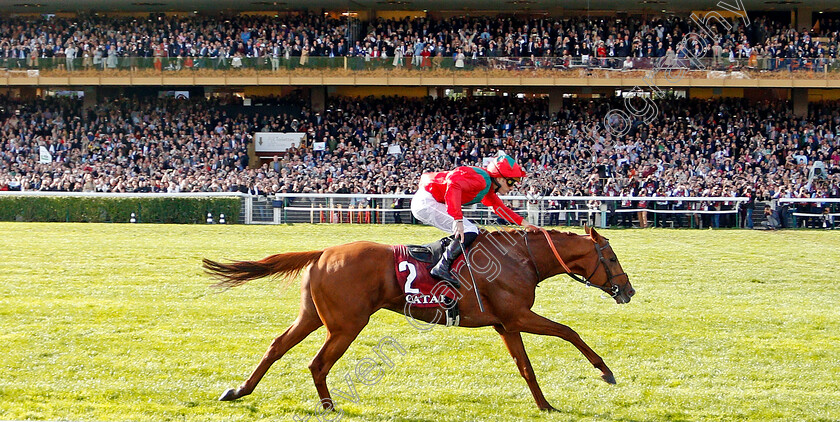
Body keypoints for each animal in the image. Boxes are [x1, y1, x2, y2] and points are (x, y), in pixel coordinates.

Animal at [203, 226, 632, 410]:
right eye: (611, 258)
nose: (628, 290)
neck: (519, 256)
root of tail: (323, 252)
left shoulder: (505, 324)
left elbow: (525, 367)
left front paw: (545, 406)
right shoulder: (519, 316)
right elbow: (569, 331)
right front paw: (606, 371)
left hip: (313, 316)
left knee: (276, 347)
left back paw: (238, 391)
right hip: (346, 324)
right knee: (317, 363)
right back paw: (329, 407)